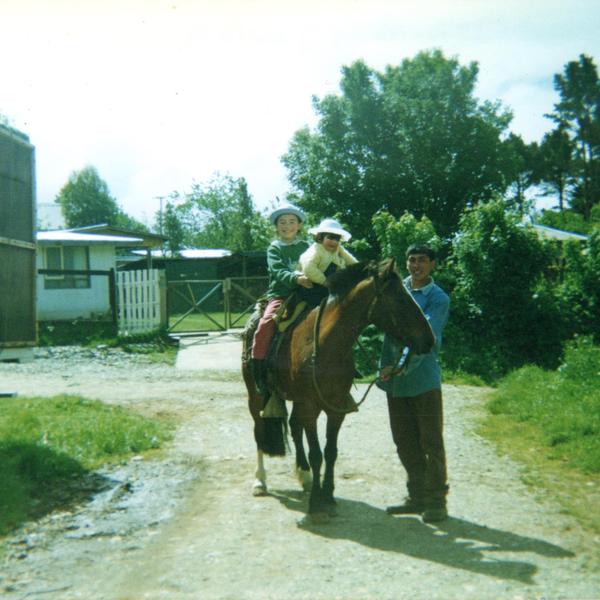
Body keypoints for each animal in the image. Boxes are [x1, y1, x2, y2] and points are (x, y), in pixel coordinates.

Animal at [241, 260, 434, 516]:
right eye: (401, 299)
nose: (429, 339)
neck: (325, 344)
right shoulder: (310, 407)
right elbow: (316, 454)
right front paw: (316, 504)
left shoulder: (336, 407)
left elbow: (330, 452)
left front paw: (328, 494)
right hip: (256, 397)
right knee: (260, 432)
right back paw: (260, 481)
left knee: (294, 427)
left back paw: (304, 476)